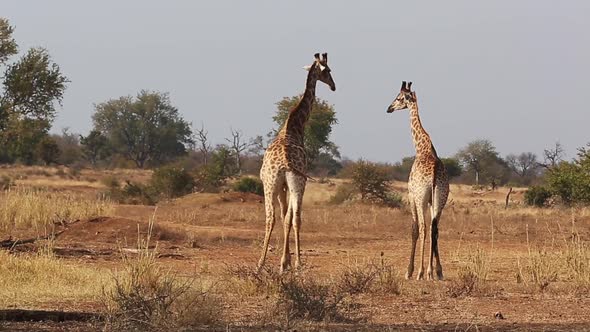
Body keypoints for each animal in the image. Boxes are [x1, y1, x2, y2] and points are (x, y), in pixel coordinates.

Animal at [388, 81, 448, 280]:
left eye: (399, 98)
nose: (389, 108)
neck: (421, 148)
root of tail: (435, 172)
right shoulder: (430, 200)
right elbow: (432, 230)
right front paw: (438, 271)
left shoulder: (411, 195)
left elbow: (414, 229)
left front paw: (409, 271)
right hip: (440, 199)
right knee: (434, 228)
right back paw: (433, 271)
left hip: (421, 198)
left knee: (423, 228)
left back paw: (422, 272)